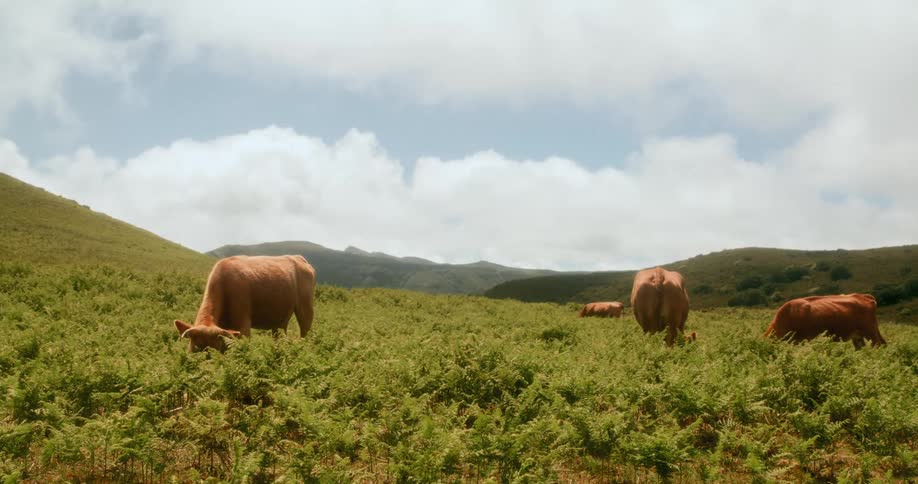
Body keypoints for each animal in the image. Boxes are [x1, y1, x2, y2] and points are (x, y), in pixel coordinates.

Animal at [174, 255, 317, 352]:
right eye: (194, 349)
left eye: (217, 349)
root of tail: (298, 257)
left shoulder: (243, 326)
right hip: (279, 318)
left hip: (306, 309)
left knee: (305, 334)